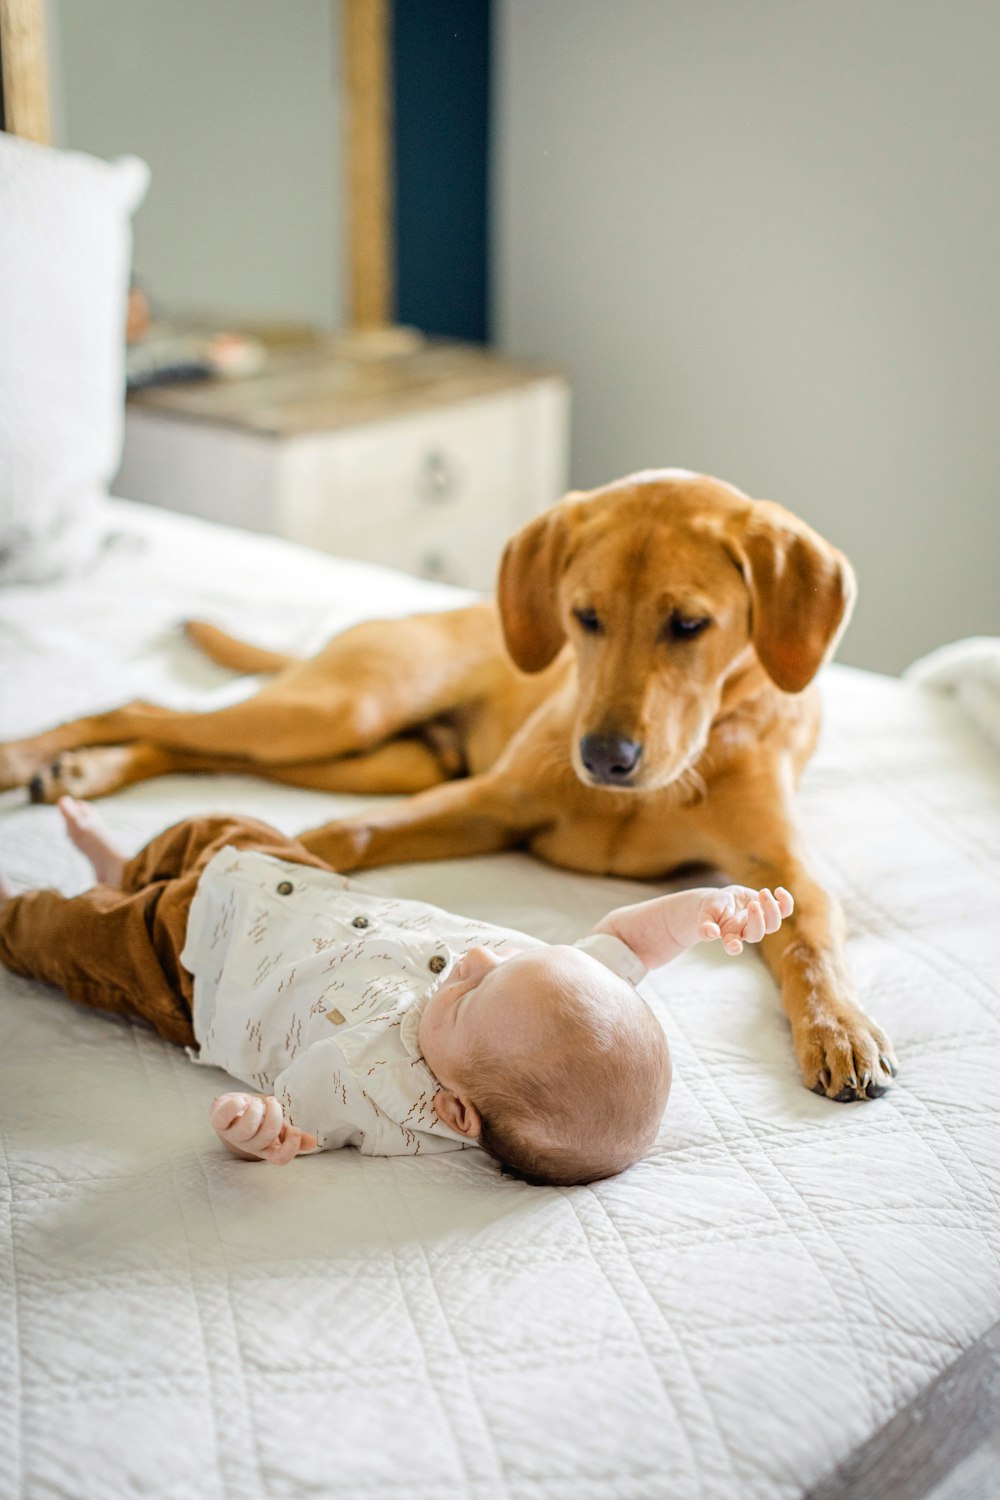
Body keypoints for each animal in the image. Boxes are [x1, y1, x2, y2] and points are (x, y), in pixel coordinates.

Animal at [0, 468, 893, 1104]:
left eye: (690, 625)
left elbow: (811, 946)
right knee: (146, 709)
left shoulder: (787, 872)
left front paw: (840, 1027)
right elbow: (338, 836)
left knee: (176, 739)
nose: (603, 757)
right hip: (340, 711)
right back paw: (40, 759)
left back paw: (86, 775)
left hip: (368, 754)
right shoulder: (483, 804)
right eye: (584, 617)